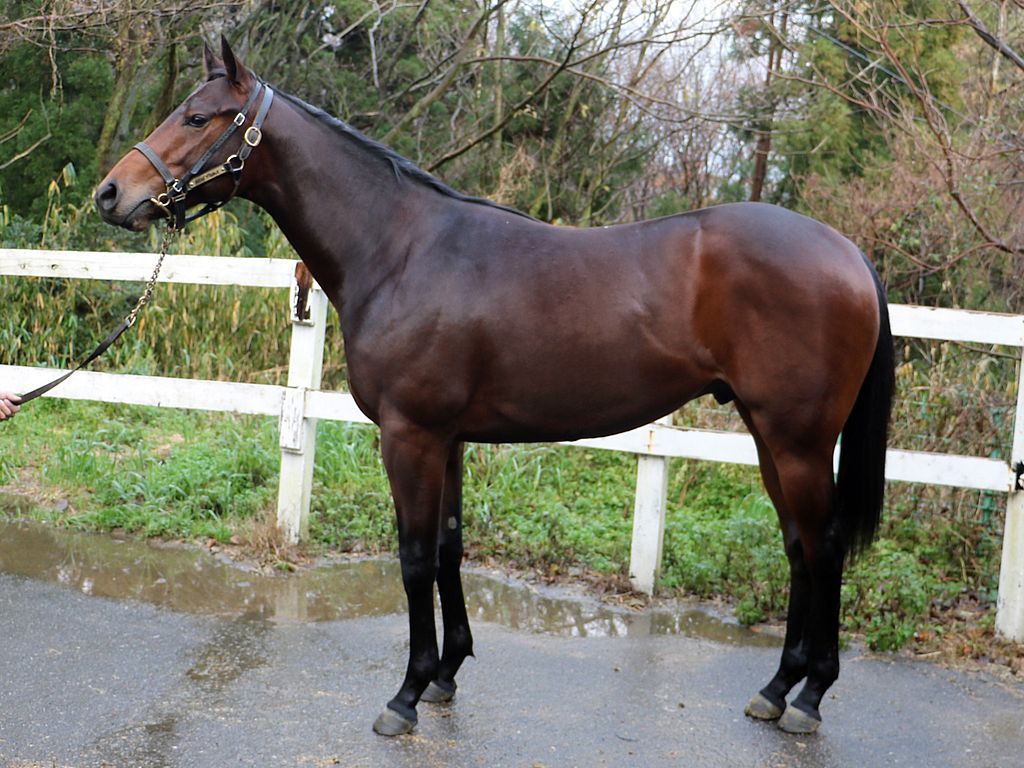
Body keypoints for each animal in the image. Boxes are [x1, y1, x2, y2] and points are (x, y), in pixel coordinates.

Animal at [95, 37, 894, 737]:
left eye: (198, 117)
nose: (110, 193)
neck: (399, 249)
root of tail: (849, 253)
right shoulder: (447, 440)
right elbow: (450, 548)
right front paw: (447, 675)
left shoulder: (410, 436)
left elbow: (415, 558)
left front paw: (407, 694)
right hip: (767, 437)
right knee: (798, 547)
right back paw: (776, 688)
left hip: (795, 441)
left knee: (822, 547)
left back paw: (810, 697)